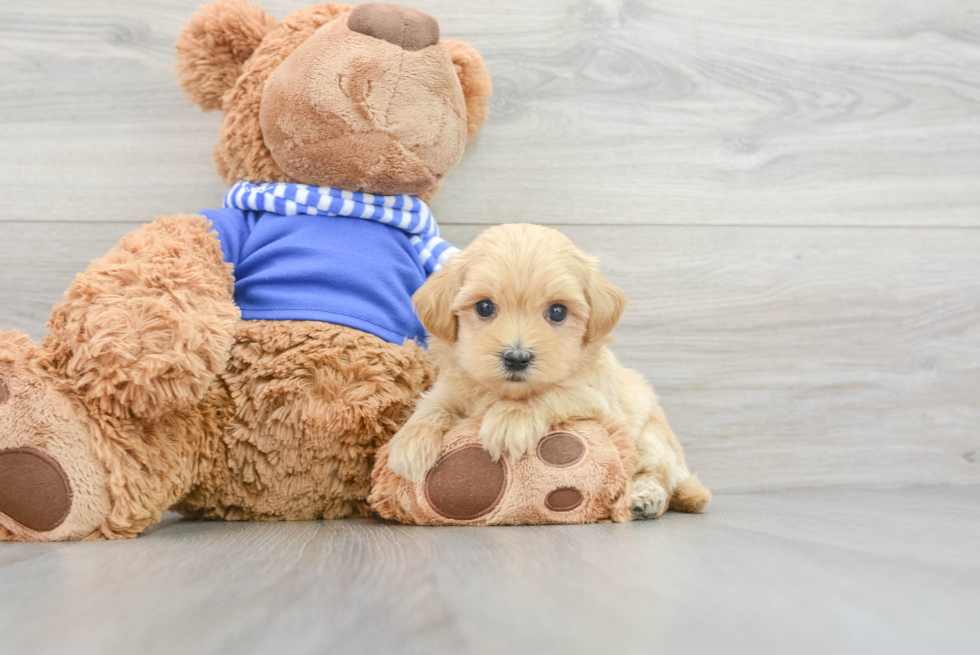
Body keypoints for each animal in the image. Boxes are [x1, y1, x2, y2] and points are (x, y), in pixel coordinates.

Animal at [384, 223, 712, 520]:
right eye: (484, 307)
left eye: (557, 311)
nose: (517, 358)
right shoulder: (451, 388)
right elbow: (432, 406)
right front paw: (410, 442)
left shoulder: (596, 400)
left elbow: (554, 392)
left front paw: (511, 420)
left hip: (650, 439)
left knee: (659, 476)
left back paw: (645, 498)